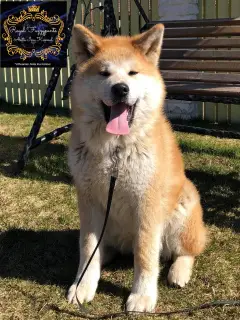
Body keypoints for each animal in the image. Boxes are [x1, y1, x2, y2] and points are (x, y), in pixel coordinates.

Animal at [67, 23, 206, 312]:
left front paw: (142, 296)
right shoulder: (89, 201)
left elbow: (144, 254)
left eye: (133, 73)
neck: (115, 152)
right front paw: (83, 285)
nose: (120, 88)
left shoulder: (147, 204)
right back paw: (105, 256)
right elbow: (87, 247)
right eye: (104, 73)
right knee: (103, 248)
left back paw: (179, 272)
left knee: (187, 251)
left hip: (183, 208)